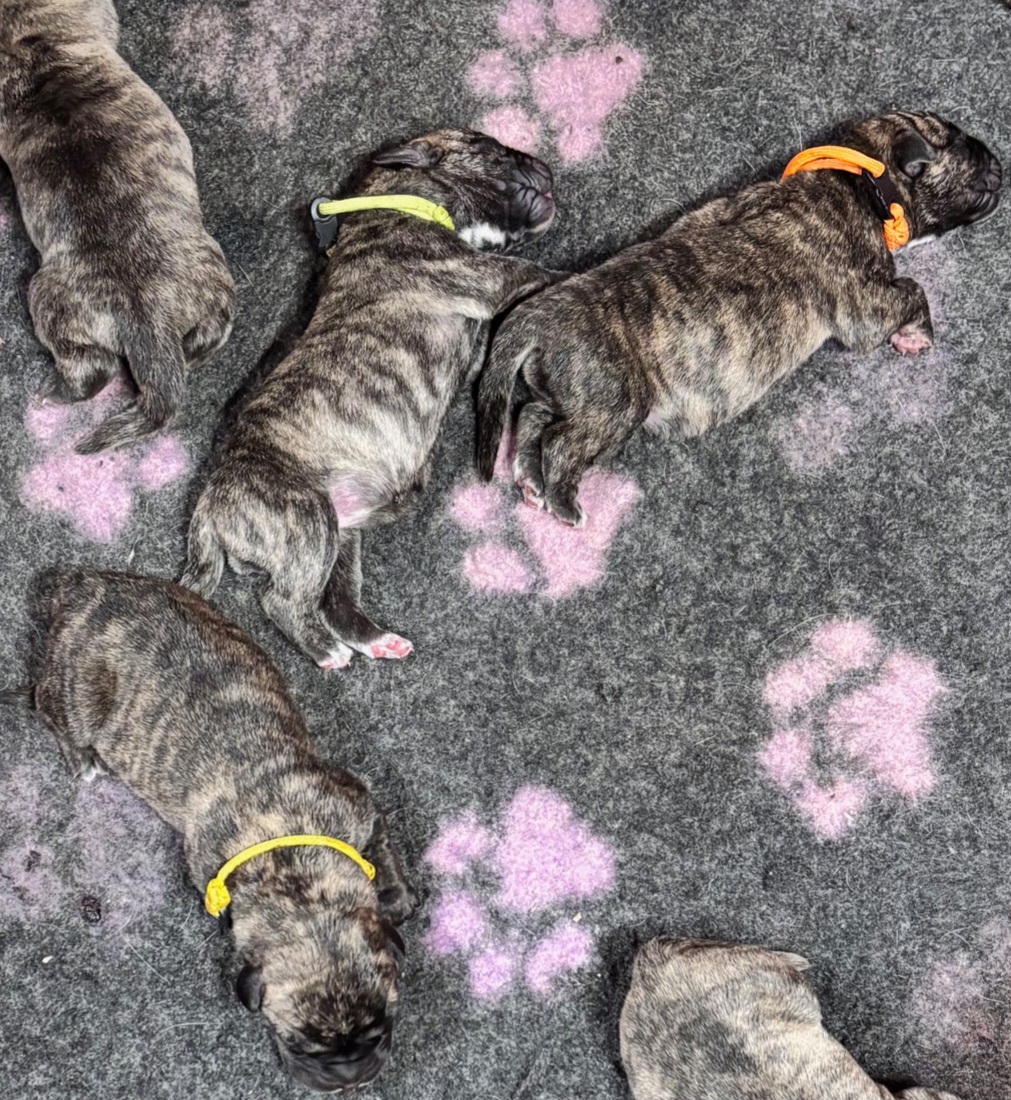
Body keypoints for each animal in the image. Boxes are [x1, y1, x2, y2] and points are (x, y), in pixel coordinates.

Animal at [9, 568, 417, 1093]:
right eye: (299, 1044)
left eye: (379, 1028)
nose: (348, 1078)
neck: (293, 870)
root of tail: (79, 584)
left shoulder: (357, 803)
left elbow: (382, 848)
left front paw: (397, 896)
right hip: (75, 693)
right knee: (43, 701)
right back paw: (82, 758)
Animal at [182, 128, 556, 669]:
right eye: (495, 150)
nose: (546, 167)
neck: (407, 199)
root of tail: (209, 506)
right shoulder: (480, 275)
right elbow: (537, 270)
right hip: (305, 520)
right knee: (281, 600)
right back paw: (326, 651)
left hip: (342, 538)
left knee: (335, 601)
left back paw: (375, 639)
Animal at [477, 110, 1001, 526]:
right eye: (959, 142)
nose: (997, 158)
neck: (860, 180)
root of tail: (541, 311)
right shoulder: (863, 307)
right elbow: (913, 290)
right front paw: (917, 335)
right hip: (615, 402)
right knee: (562, 442)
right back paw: (565, 504)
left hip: (573, 389)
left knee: (532, 413)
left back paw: (529, 480)